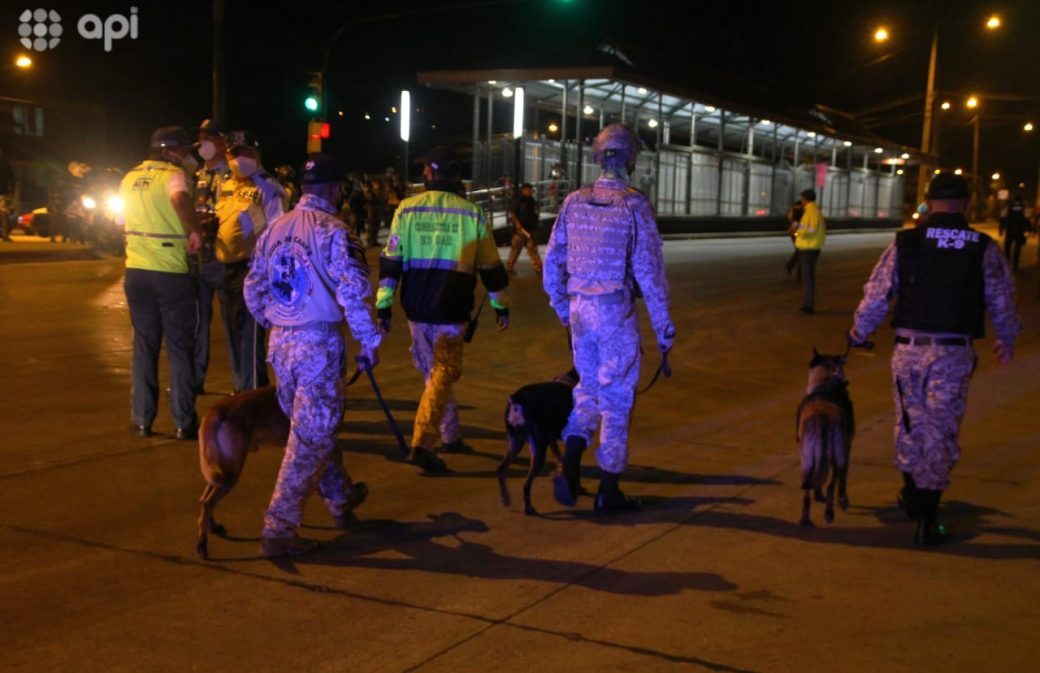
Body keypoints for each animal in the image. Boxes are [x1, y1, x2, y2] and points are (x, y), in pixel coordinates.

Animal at [499, 368, 582, 515]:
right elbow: (574, 466)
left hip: (516, 442)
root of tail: (517, 401)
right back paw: (528, 509)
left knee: (501, 469)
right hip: (537, 449)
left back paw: (506, 499)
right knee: (526, 484)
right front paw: (578, 489)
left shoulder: (552, 440)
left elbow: (562, 459)